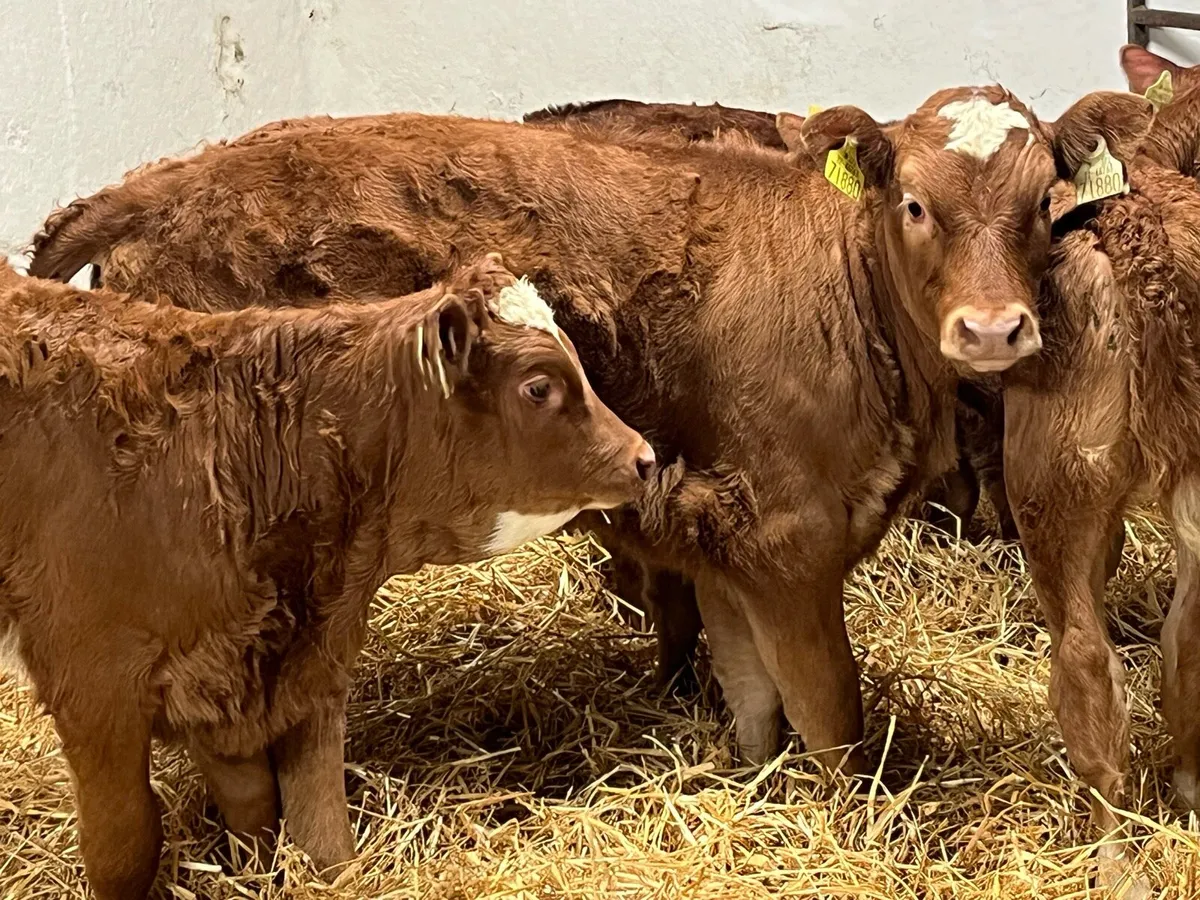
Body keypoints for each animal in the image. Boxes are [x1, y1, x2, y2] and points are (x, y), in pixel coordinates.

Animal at [0, 253, 654, 900]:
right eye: (539, 386)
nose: (644, 457)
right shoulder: (94, 688)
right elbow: (125, 848)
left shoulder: (284, 671)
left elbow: (306, 831)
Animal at [27, 87, 1152, 790]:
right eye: (915, 203)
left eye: (1045, 206)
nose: (996, 330)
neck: (842, 289)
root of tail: (159, 183)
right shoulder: (790, 538)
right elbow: (832, 716)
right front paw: (850, 822)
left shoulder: (719, 535)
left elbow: (752, 703)